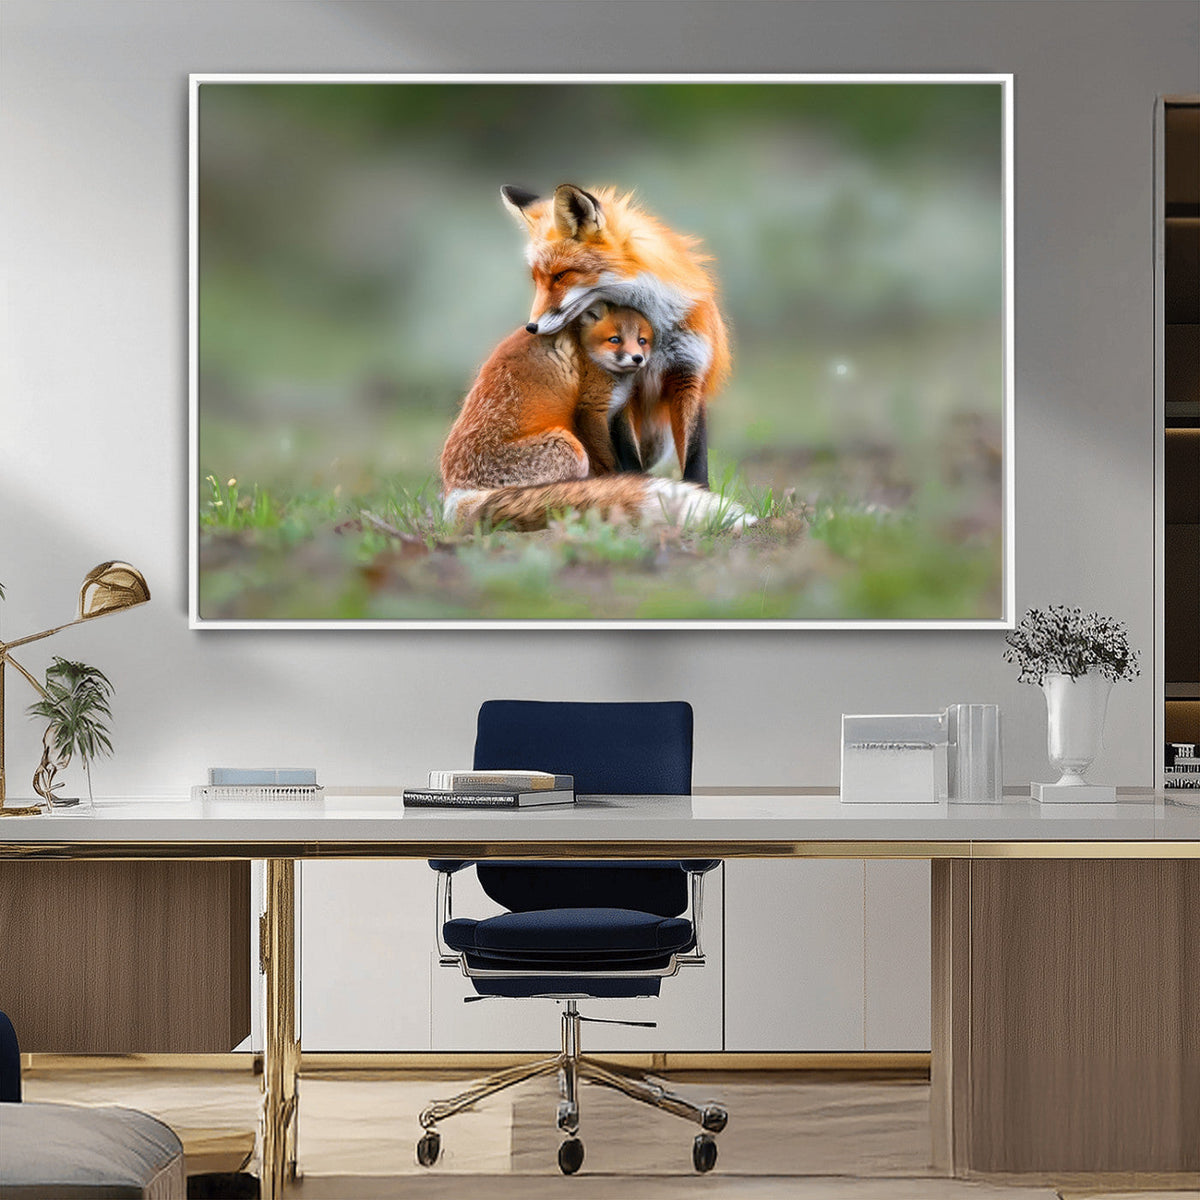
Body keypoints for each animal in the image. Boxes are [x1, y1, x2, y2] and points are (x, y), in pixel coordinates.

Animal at [501, 183, 731, 488]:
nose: (531, 327)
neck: (655, 331)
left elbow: (695, 458)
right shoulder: (622, 390)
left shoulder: (688, 375)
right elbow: (628, 457)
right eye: (536, 280)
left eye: (560, 275)